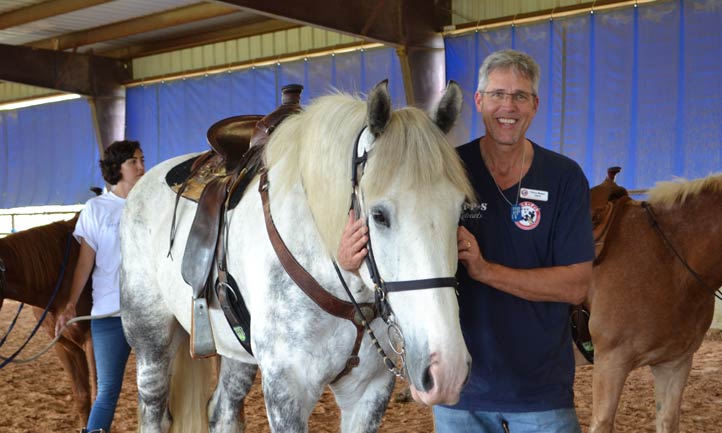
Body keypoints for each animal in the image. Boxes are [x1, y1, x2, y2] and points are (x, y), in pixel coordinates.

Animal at [121, 82, 476, 432]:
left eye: (461, 210)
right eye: (378, 215)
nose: (447, 370)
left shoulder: (369, 391)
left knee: (222, 411)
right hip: (150, 339)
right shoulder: (286, 391)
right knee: (154, 411)